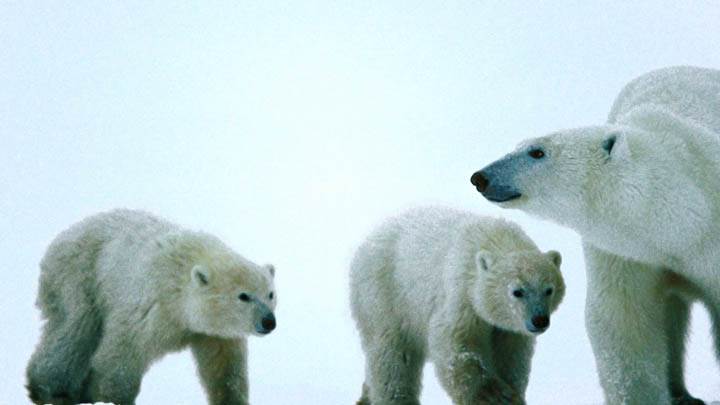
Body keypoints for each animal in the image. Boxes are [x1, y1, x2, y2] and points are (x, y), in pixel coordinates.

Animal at [26, 209, 277, 405]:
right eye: (243, 296)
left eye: (270, 294)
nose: (268, 321)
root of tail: (63, 235)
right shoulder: (150, 307)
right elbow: (121, 355)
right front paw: (112, 397)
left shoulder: (214, 332)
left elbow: (224, 367)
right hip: (78, 276)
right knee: (73, 330)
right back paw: (51, 390)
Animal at [349, 206, 565, 405]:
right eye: (517, 291)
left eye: (549, 290)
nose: (539, 320)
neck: (493, 238)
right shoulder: (461, 294)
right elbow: (455, 344)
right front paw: (489, 394)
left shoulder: (508, 326)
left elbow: (511, 354)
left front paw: (511, 393)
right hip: (385, 296)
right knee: (392, 357)